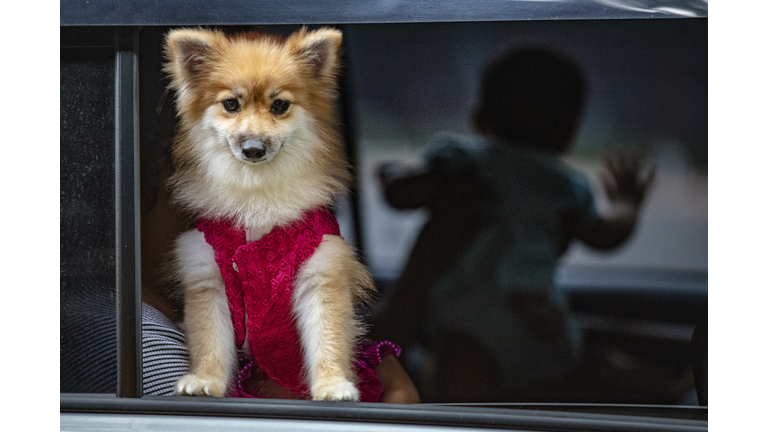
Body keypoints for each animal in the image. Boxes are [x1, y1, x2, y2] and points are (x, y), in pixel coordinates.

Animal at [164, 27, 376, 402]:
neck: (256, 195)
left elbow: (329, 338)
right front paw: (205, 380)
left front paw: (333, 385)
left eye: (280, 106)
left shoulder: (322, 272)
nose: (253, 148)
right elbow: (209, 340)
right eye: (230, 105)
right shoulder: (207, 276)